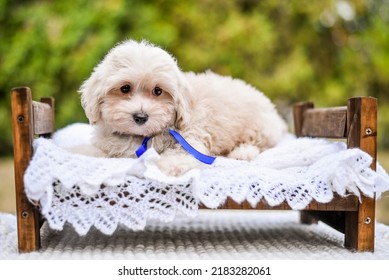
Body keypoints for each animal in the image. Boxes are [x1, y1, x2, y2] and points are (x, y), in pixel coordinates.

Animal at [79, 40, 286, 175]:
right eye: (125, 88)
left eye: (158, 91)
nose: (141, 117)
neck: (142, 137)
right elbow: (97, 150)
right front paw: (80, 150)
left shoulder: (191, 136)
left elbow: (181, 153)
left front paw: (169, 165)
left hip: (259, 127)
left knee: (259, 144)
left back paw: (243, 152)